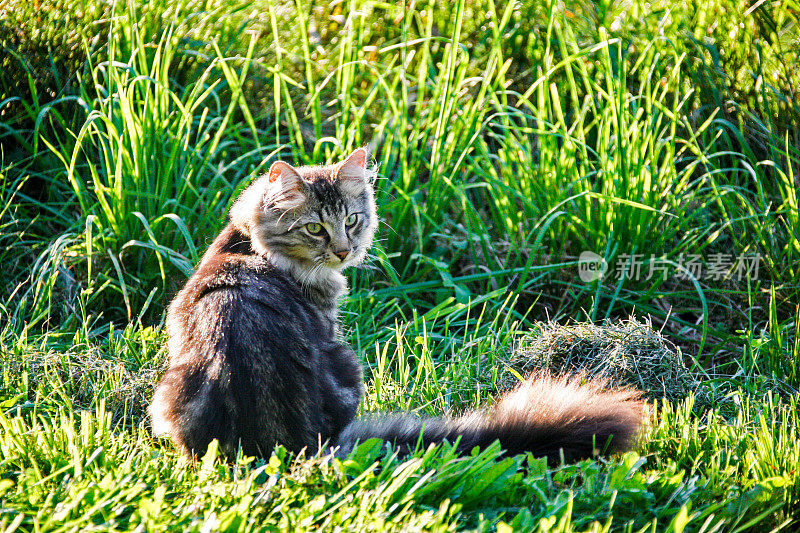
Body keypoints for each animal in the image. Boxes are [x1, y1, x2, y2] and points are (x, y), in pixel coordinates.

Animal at [148, 148, 644, 464]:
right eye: (314, 229)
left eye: (352, 220)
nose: (344, 250)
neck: (252, 244)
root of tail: (285, 448)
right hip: (345, 365)